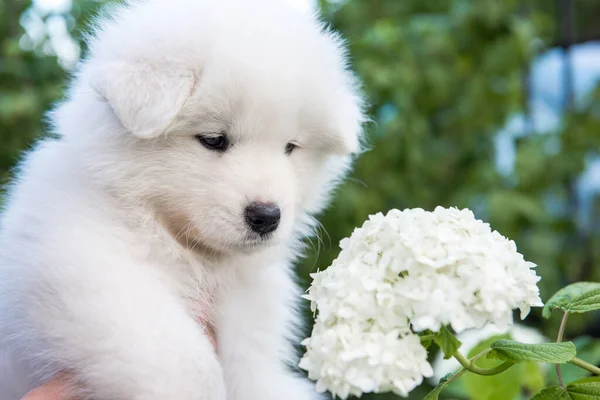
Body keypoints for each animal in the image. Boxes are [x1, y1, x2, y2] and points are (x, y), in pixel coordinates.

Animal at [0, 0, 360, 398]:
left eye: (290, 147)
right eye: (213, 139)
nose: (267, 216)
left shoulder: (246, 319)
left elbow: (249, 373)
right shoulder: (82, 267)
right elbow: (184, 361)